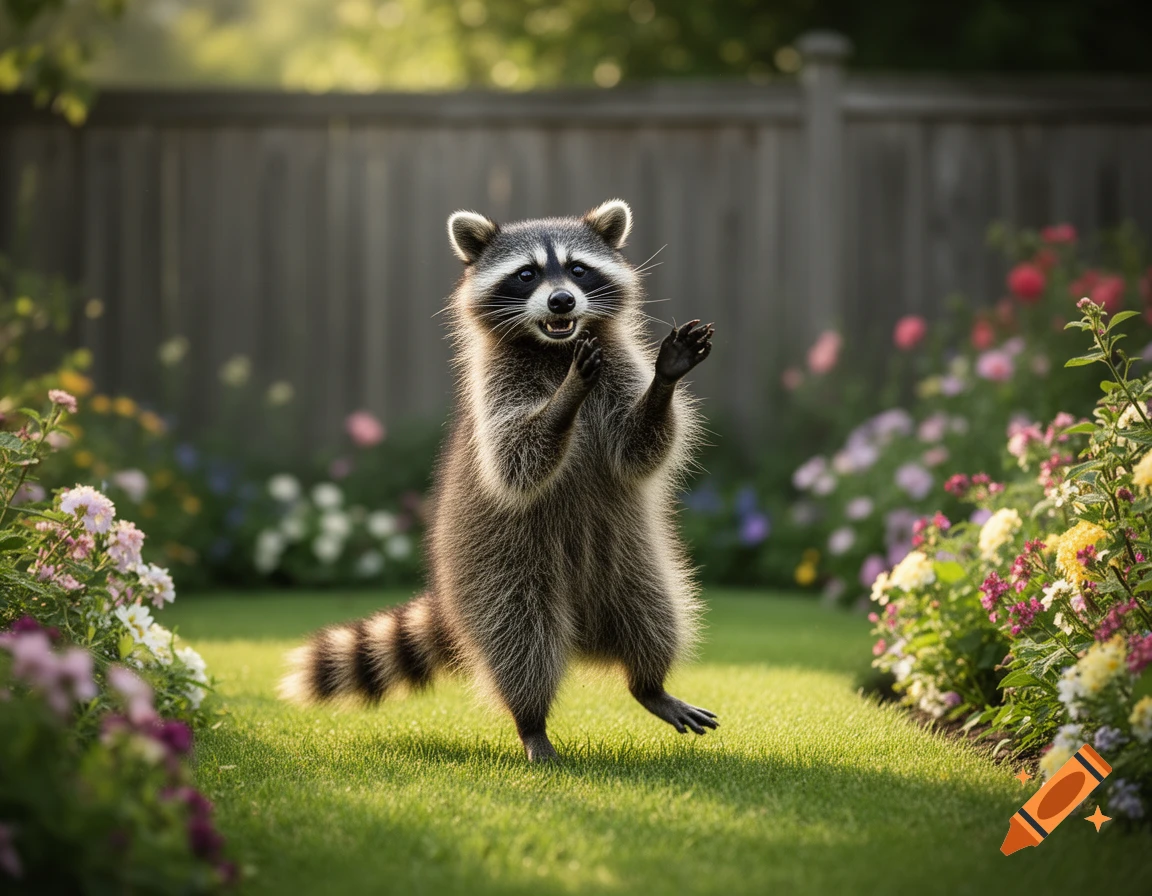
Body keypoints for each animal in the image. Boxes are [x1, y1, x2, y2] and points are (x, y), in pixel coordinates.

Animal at [279, 199, 717, 761]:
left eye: (578, 269)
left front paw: (666, 379)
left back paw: (650, 684)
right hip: (498, 571)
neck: (554, 348)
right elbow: (515, 461)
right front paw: (566, 397)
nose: (561, 300)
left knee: (654, 616)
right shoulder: (496, 389)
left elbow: (638, 449)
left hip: (632, 566)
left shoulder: (619, 371)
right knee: (521, 644)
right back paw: (532, 721)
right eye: (526, 274)